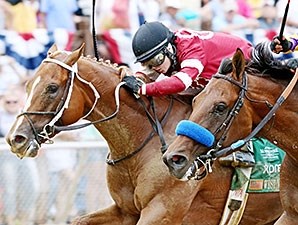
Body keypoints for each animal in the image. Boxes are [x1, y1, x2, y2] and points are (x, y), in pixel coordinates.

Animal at [5, 43, 282, 224]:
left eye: (52, 88)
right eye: (27, 86)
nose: (15, 139)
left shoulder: (161, 212)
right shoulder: (126, 210)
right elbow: (78, 220)